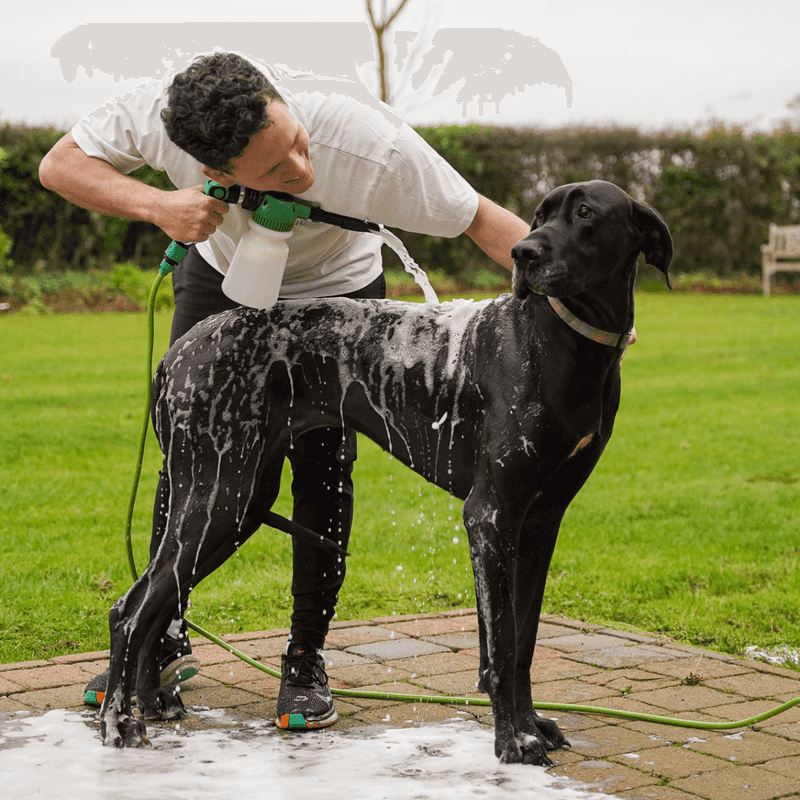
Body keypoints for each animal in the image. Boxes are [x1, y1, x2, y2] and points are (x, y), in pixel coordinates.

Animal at [103, 180, 672, 764]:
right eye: (539, 217)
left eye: (584, 213)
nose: (523, 253)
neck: (565, 339)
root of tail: (176, 351)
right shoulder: (491, 515)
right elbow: (500, 645)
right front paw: (513, 740)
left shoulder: (540, 523)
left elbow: (523, 642)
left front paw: (533, 723)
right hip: (217, 498)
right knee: (130, 609)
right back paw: (120, 720)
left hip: (236, 505)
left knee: (156, 605)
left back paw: (150, 702)